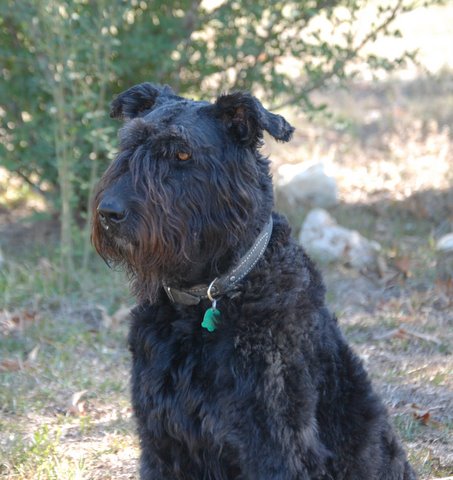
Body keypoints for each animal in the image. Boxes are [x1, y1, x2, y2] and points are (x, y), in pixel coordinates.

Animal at [91, 84, 414, 478]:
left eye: (182, 153)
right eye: (128, 145)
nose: (109, 213)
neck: (208, 297)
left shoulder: (277, 445)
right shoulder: (161, 440)